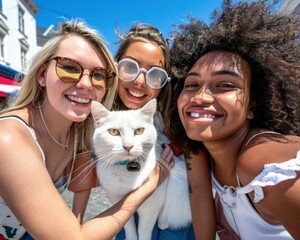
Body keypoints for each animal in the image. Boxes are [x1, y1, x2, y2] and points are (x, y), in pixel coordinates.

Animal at [91, 99, 192, 240]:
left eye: (139, 131)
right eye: (113, 132)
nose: (128, 146)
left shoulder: (151, 206)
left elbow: (144, 230)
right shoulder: (118, 202)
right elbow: (128, 225)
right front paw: (131, 237)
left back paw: (163, 223)